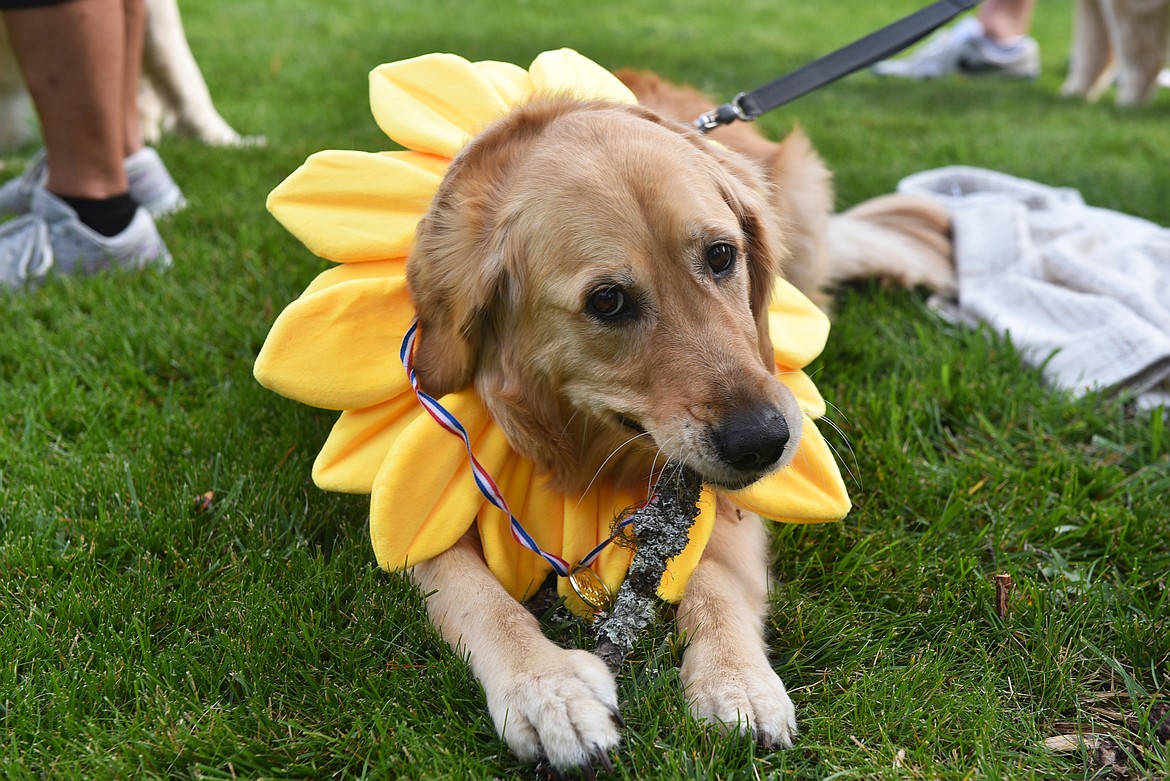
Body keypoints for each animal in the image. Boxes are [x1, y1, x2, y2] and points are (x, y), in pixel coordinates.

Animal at [402, 70, 950, 771]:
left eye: (720, 255)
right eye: (608, 300)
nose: (766, 442)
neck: (574, 443)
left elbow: (714, 579)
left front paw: (735, 679)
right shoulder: (414, 500)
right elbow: (475, 596)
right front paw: (547, 688)